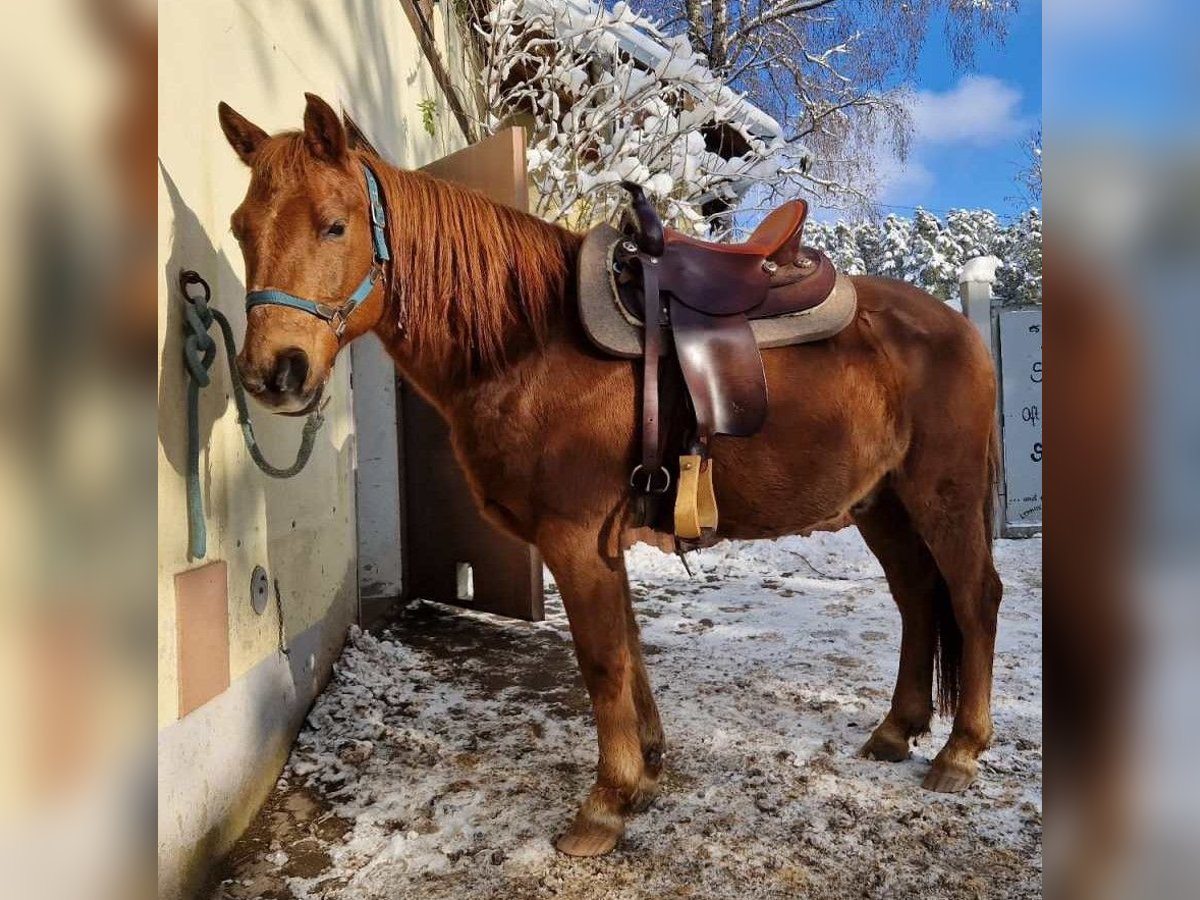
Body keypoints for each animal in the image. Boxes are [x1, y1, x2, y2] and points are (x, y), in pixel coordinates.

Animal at [223, 97, 1003, 859]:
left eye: (334, 224)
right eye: (240, 229)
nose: (275, 374)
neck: (529, 342)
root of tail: (960, 327)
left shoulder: (573, 540)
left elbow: (601, 664)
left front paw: (605, 805)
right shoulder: (605, 541)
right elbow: (629, 652)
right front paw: (648, 772)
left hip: (943, 499)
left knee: (973, 599)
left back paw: (961, 752)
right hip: (882, 507)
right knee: (917, 599)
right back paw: (896, 730)